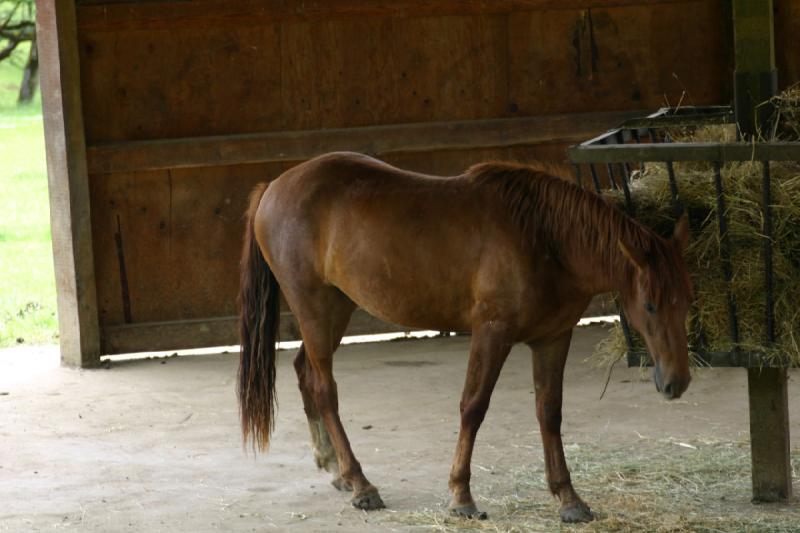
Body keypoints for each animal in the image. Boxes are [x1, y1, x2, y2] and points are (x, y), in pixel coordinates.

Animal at [238, 152, 692, 520]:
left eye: (688, 299)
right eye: (650, 305)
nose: (677, 383)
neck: (543, 237)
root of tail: (273, 186)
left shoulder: (553, 338)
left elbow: (550, 412)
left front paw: (569, 499)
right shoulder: (492, 333)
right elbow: (473, 407)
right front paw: (462, 497)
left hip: (336, 309)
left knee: (305, 373)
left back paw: (334, 468)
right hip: (314, 308)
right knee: (324, 389)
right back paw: (360, 483)